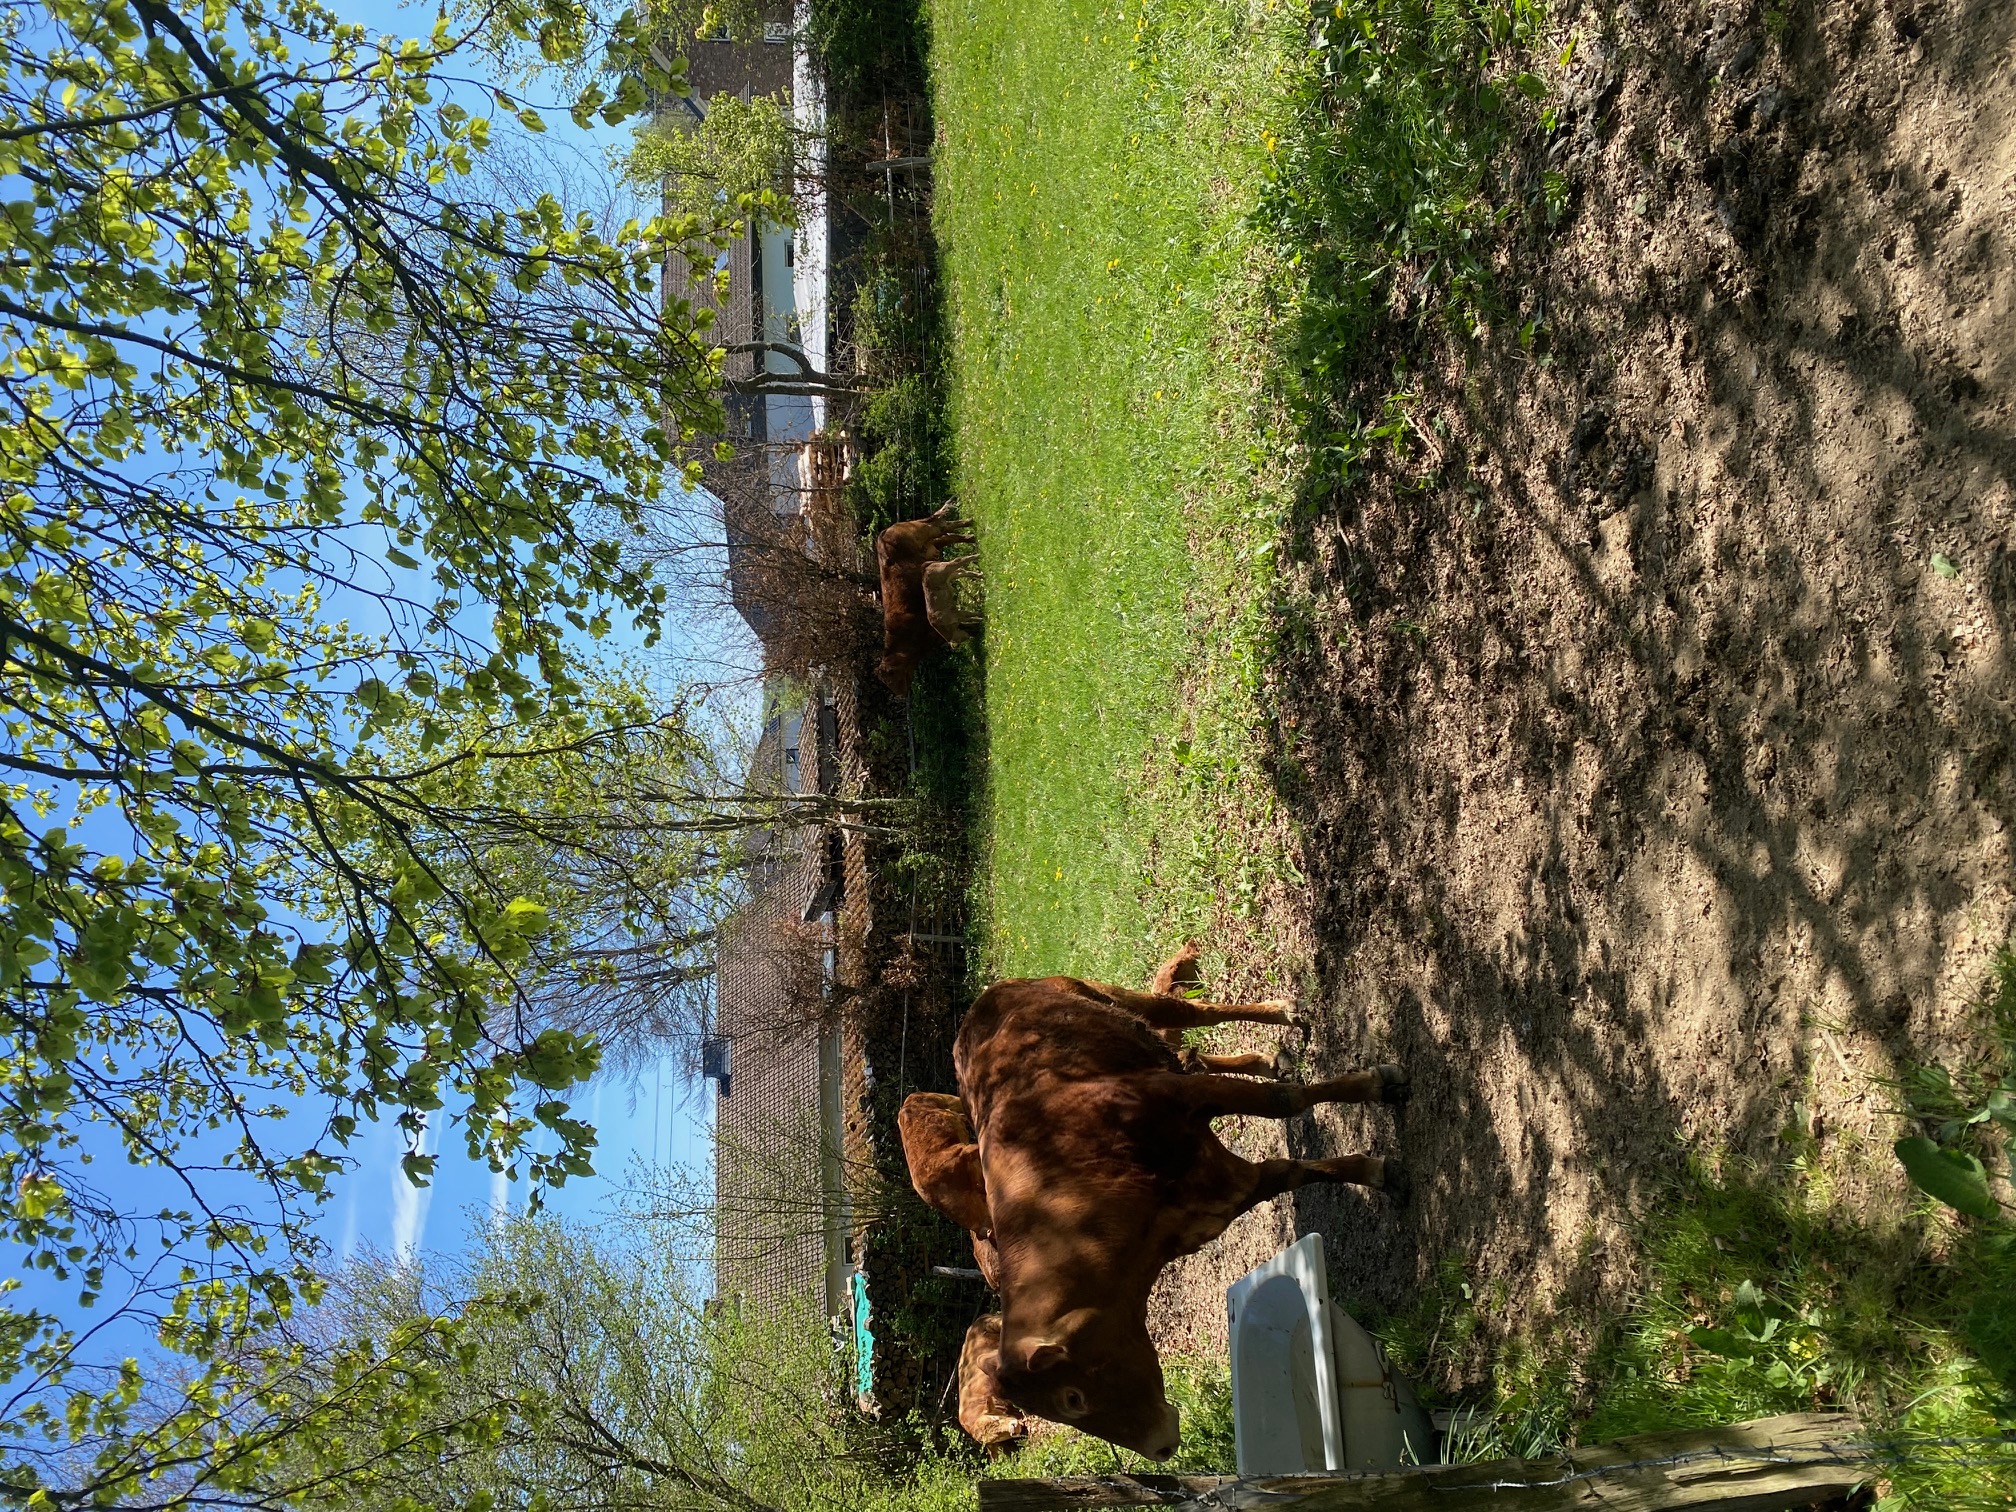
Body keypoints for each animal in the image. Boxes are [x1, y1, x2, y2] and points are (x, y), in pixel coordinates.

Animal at [876, 502, 974, 696]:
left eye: (892, 678)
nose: (901, 695)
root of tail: (885, 532)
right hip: (934, 541)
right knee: (951, 533)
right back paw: (972, 533)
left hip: (927, 533)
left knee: (941, 525)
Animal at [957, 976, 1408, 1460]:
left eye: (1072, 1398)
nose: (1159, 1448)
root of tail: (981, 1006)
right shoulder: (1219, 1195)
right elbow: (1288, 1170)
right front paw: (1370, 1170)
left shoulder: (1180, 1095)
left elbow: (1284, 1100)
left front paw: (1374, 1086)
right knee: (1188, 1054)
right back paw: (1268, 1058)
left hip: (1114, 999)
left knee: (1190, 1014)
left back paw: (1282, 1011)